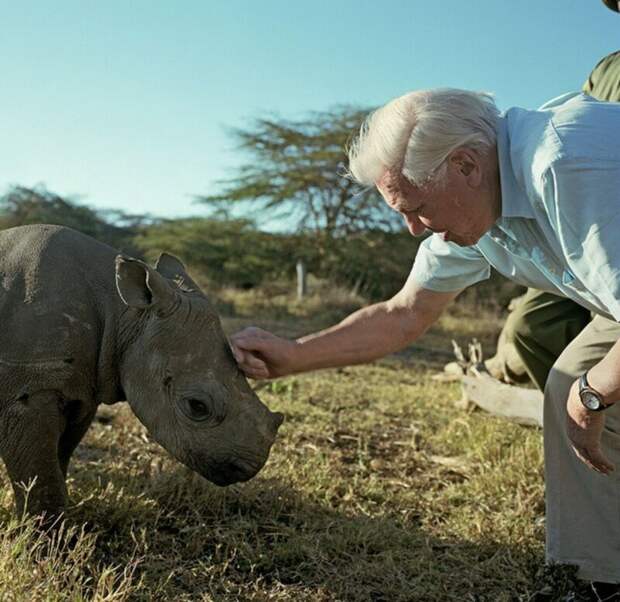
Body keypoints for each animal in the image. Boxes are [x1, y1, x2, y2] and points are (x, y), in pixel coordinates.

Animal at [0, 223, 284, 512]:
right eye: (197, 406)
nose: (251, 467)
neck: (123, 313)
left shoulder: (82, 389)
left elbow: (60, 455)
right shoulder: (29, 391)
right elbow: (40, 473)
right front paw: (48, 524)